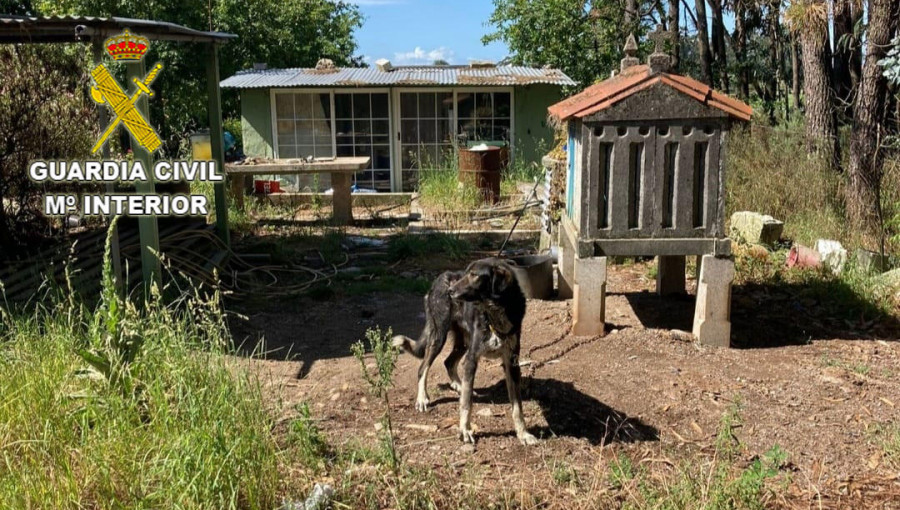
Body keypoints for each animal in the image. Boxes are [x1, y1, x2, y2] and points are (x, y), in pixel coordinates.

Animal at [390, 256, 536, 444]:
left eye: (474, 275)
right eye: (466, 273)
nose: (450, 291)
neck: (495, 314)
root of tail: (440, 278)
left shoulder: (512, 363)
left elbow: (517, 407)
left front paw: (523, 433)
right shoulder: (472, 359)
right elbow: (466, 403)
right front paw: (465, 430)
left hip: (462, 343)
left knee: (448, 362)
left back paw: (459, 386)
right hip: (439, 336)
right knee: (423, 367)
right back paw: (422, 398)